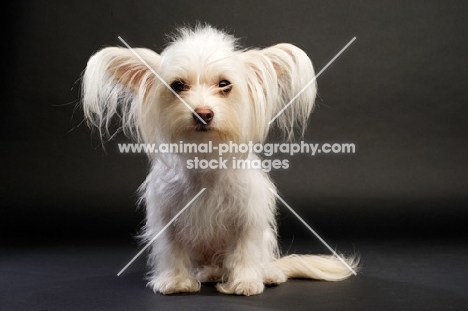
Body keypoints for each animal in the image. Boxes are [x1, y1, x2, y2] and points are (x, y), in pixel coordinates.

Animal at [81, 23, 358, 296]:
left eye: (224, 84)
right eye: (177, 86)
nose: (203, 113)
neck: (206, 156)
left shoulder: (248, 215)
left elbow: (245, 249)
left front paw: (245, 282)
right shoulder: (167, 215)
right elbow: (172, 249)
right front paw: (175, 281)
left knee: (260, 259)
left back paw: (267, 274)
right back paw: (208, 274)